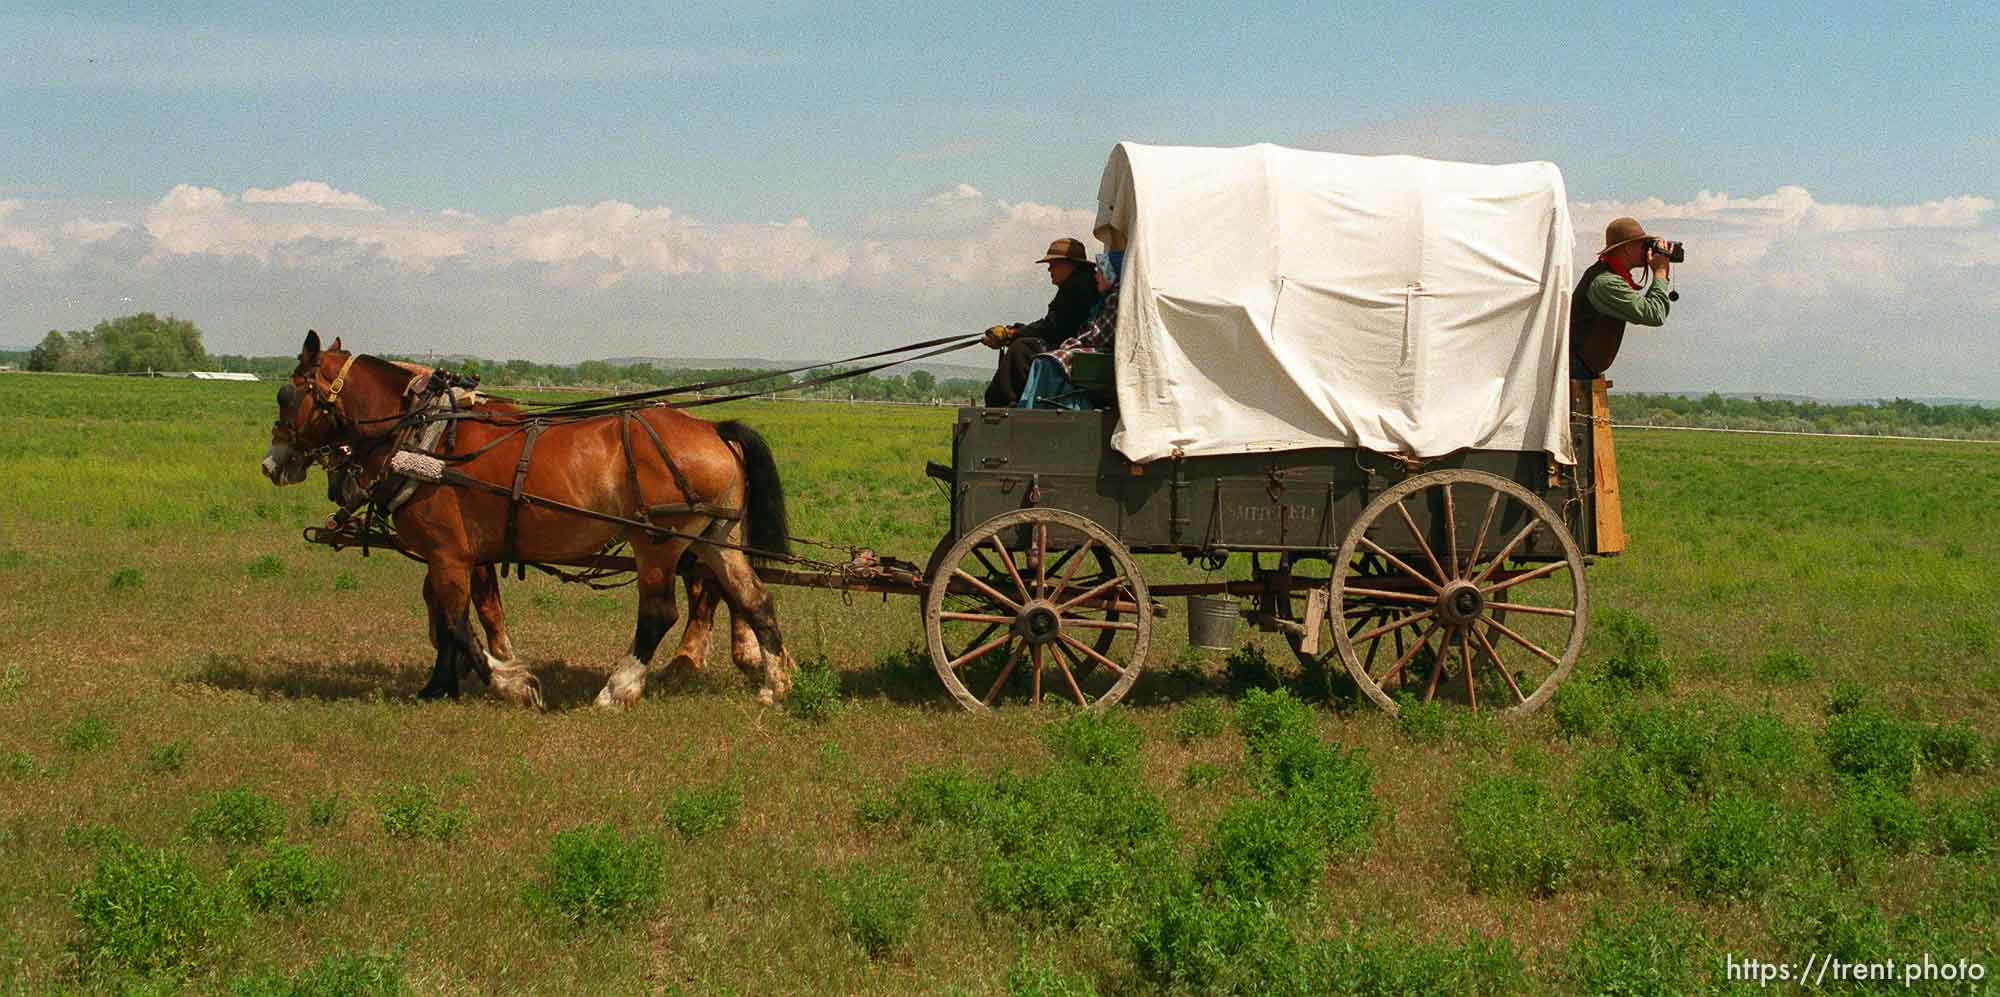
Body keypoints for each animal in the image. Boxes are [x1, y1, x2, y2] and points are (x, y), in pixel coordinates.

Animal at [260, 334, 796, 708]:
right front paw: (440, 684)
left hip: (657, 543)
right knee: (755, 599)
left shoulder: (449, 552)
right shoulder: (459, 555)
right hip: (715, 537)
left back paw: (617, 689)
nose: (272, 463)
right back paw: (775, 683)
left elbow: (455, 620)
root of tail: (714, 429)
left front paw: (511, 682)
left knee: (659, 613)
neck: (424, 439)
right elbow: (449, 615)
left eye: (287, 394)